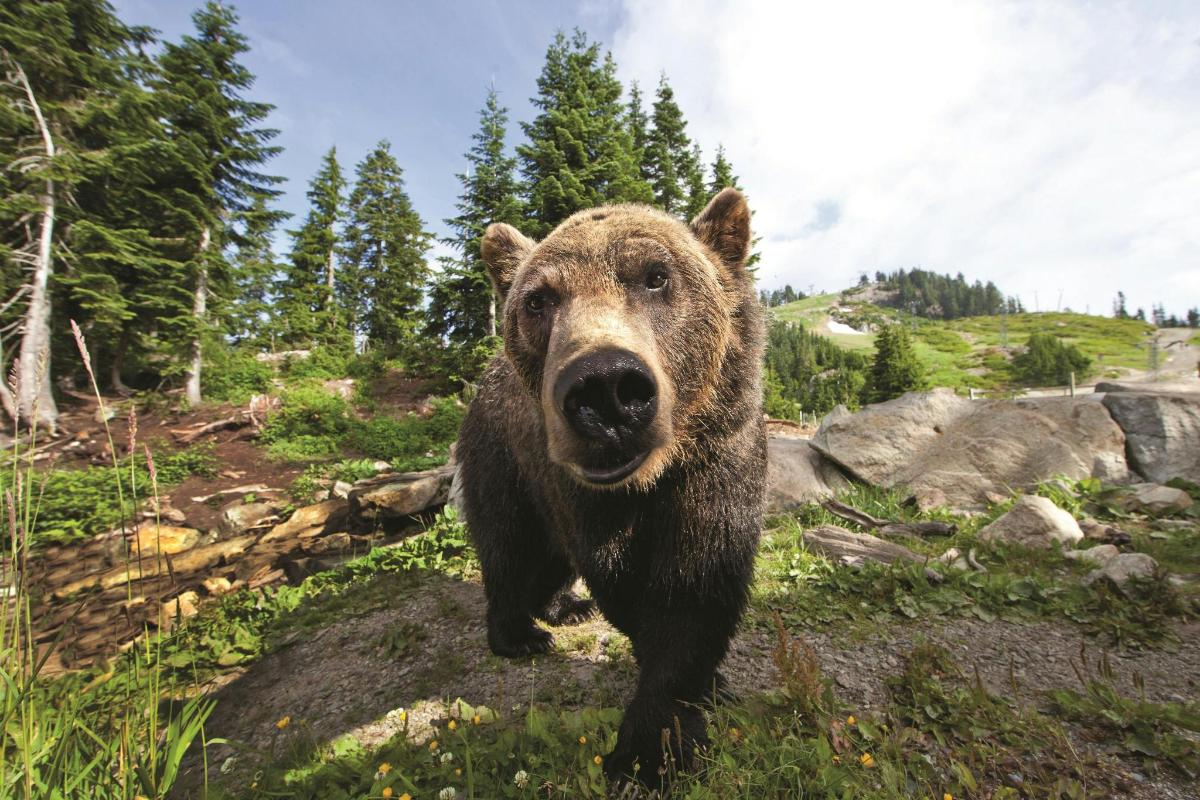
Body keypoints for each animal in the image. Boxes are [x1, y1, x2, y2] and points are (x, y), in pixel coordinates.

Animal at [453, 190, 763, 786]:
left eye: (656, 276)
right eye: (538, 300)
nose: (606, 389)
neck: (653, 478)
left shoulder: (719, 462)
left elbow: (697, 581)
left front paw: (676, 717)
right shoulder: (579, 491)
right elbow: (621, 577)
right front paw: (646, 754)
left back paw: (564, 606)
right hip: (503, 460)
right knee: (509, 545)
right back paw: (519, 633)